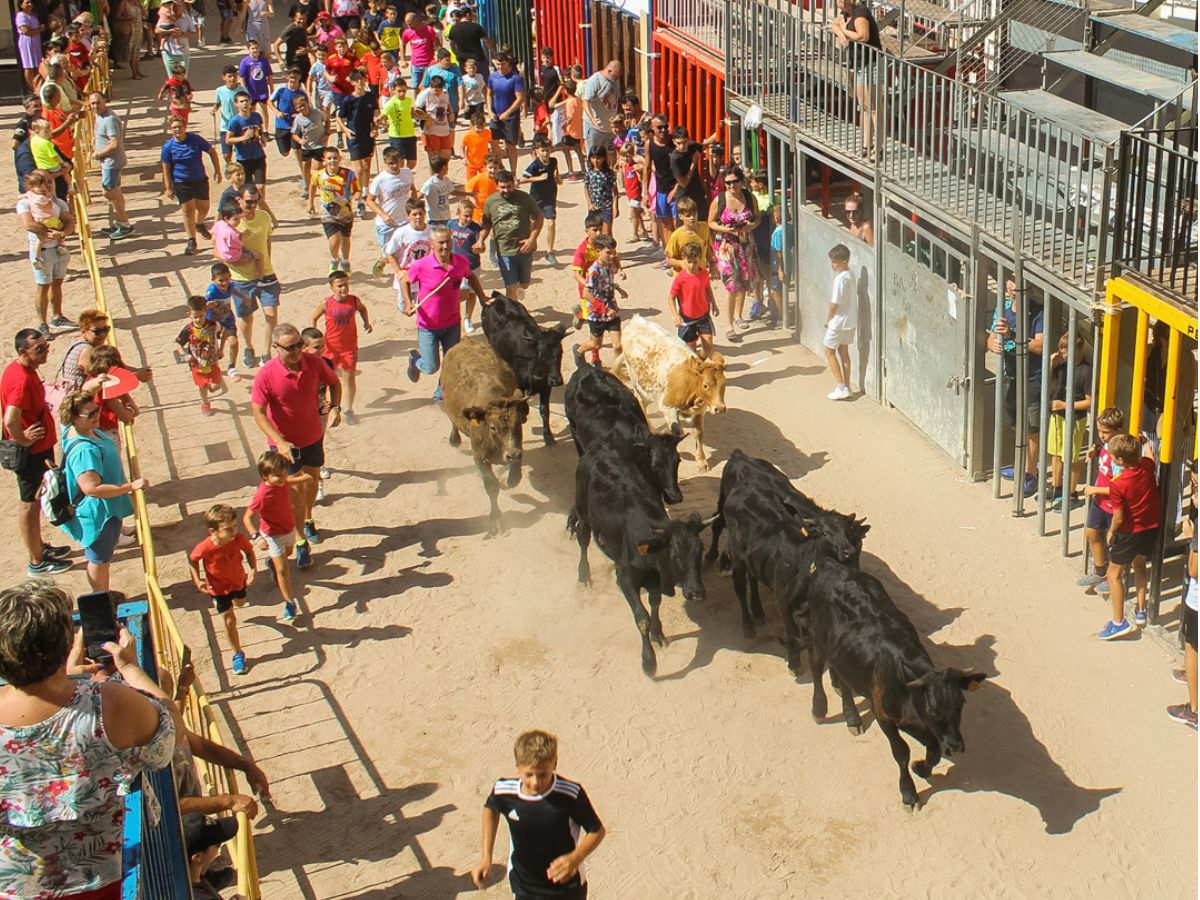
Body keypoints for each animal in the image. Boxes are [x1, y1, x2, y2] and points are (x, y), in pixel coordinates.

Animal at [439, 338, 528, 535]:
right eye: (493, 427)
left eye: (519, 423)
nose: (512, 454)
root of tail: (466, 341)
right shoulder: (479, 457)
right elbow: (491, 486)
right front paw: (496, 521)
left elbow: (514, 478)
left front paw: (509, 480)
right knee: (452, 421)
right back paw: (454, 439)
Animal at [614, 314, 724, 472]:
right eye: (706, 385)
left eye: (723, 384)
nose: (720, 408)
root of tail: (636, 319)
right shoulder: (668, 407)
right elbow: (677, 431)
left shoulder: (699, 412)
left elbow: (698, 434)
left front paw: (701, 461)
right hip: (641, 387)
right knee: (641, 402)